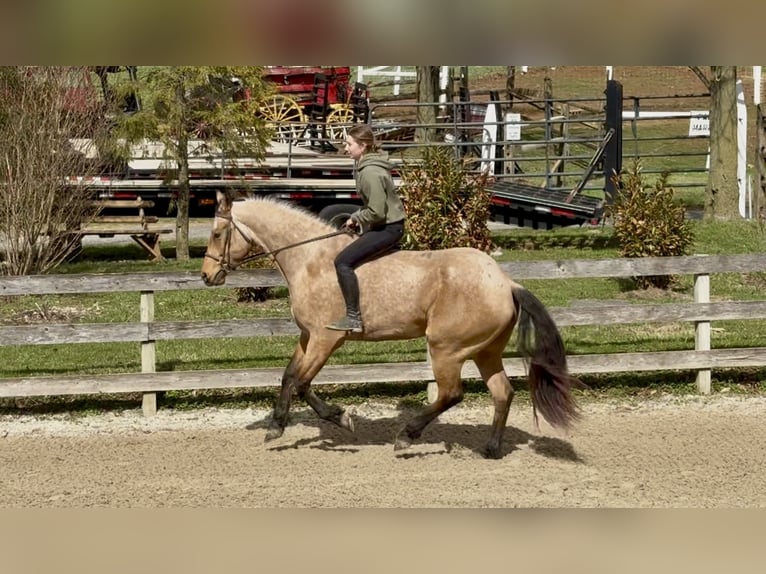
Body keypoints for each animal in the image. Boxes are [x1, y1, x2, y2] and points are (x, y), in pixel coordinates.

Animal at [201, 192, 583, 459]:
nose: (206, 276)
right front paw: (278, 426)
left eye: (218, 233)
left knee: (451, 394)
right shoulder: (309, 337)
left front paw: (338, 418)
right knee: (502, 392)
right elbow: (289, 377)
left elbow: (301, 382)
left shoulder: (326, 339)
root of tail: (506, 283)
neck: (309, 260)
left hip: (446, 349)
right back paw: (490, 449)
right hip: (484, 351)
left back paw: (406, 437)